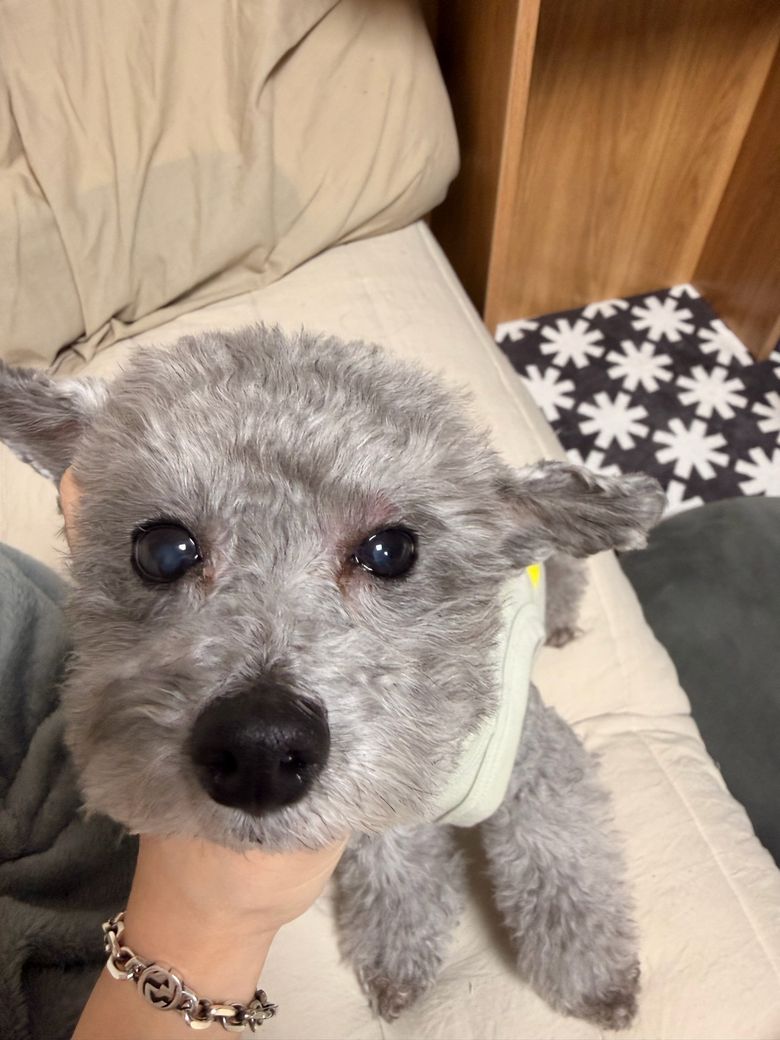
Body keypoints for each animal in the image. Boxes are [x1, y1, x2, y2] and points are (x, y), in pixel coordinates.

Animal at [0, 326, 664, 1028]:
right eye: (162, 550)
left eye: (391, 551)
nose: (259, 750)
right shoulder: (380, 807)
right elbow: (398, 872)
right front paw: (398, 959)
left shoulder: (537, 760)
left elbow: (560, 855)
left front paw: (595, 979)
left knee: (564, 567)